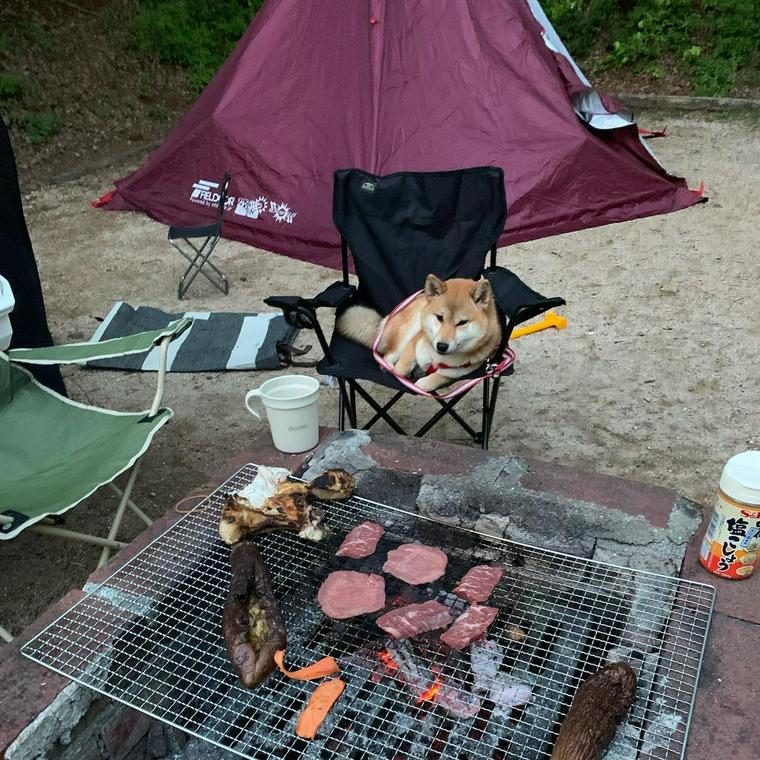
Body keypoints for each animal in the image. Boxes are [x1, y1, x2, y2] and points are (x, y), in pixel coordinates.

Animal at [336, 274, 502, 392]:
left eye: (462, 322)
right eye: (439, 317)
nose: (441, 346)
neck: (437, 358)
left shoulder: (462, 370)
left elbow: (440, 376)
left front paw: (425, 381)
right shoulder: (414, 343)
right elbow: (400, 370)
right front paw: (402, 374)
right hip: (408, 328)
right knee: (387, 356)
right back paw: (387, 366)